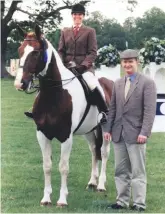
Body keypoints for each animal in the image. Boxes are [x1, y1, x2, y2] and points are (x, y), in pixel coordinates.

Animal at [14, 25, 113, 207]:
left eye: (36, 53)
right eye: (20, 51)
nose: (20, 84)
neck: (54, 94)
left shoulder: (66, 137)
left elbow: (63, 167)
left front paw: (62, 199)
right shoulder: (42, 134)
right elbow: (47, 165)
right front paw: (46, 198)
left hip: (104, 128)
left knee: (103, 152)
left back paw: (101, 185)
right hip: (89, 131)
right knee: (93, 151)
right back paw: (92, 182)